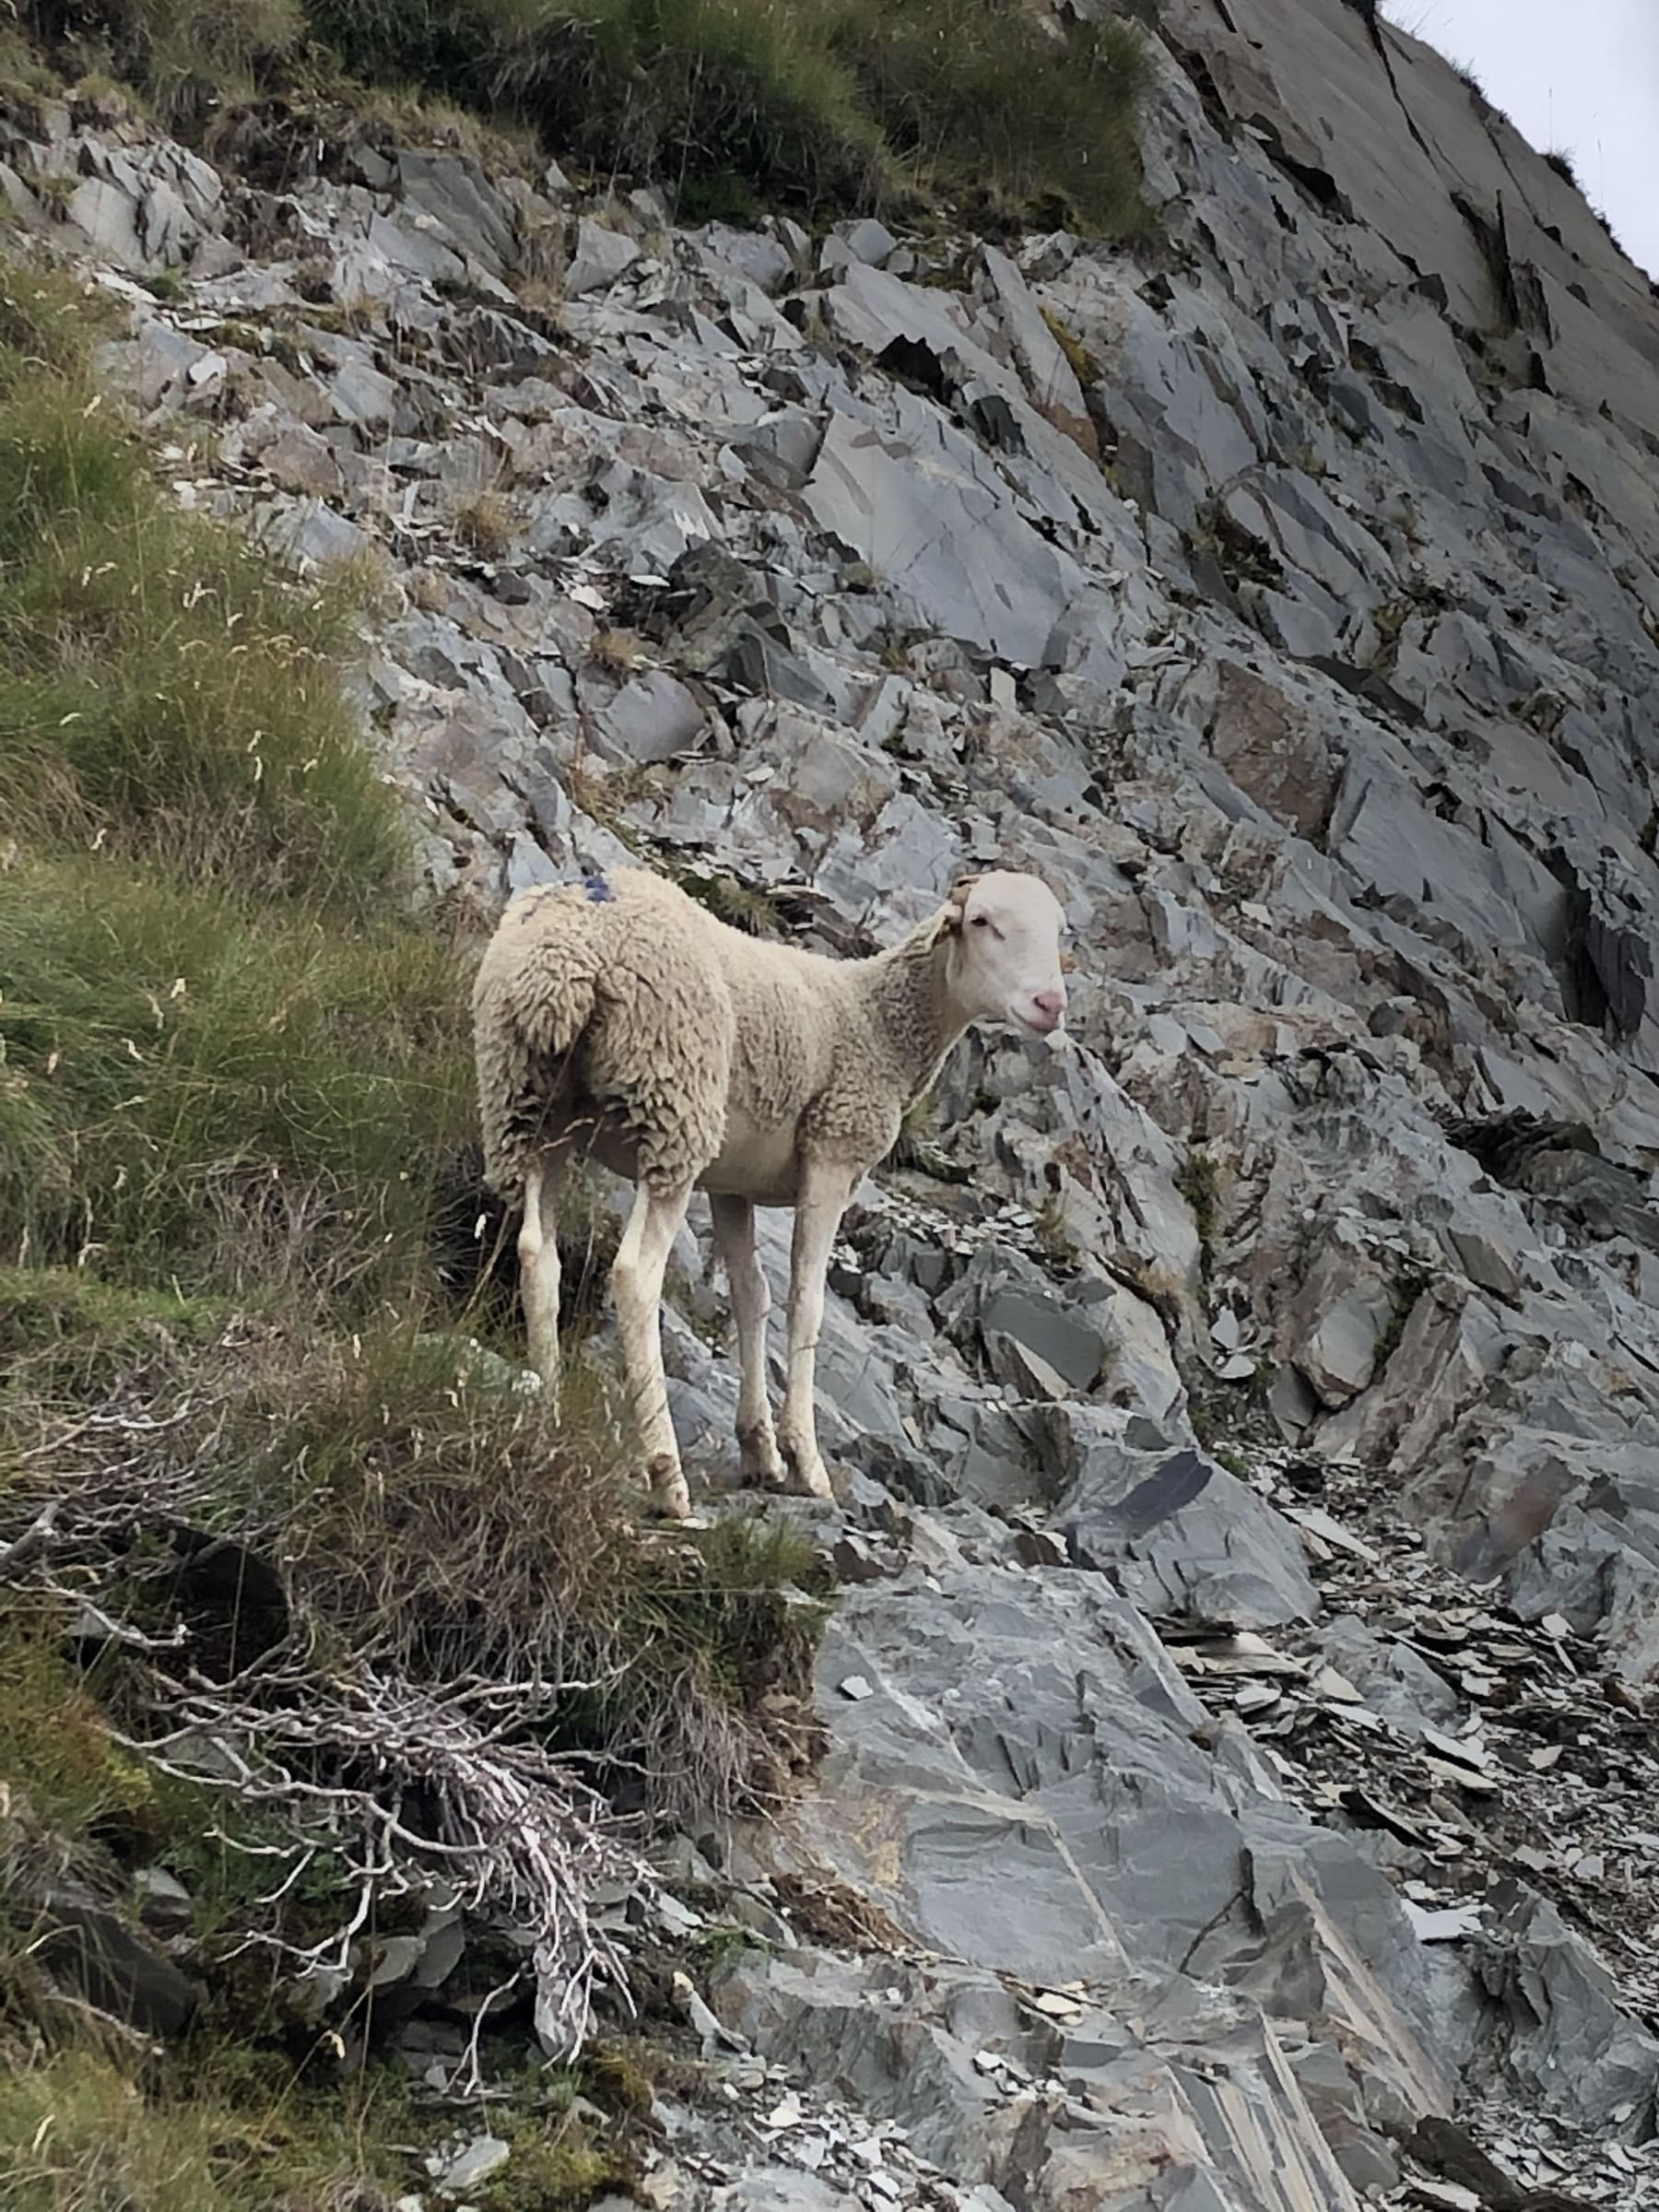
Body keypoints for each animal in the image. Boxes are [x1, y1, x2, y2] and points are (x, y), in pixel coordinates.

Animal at [473, 866, 1070, 1522]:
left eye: (1059, 931)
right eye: (983, 921)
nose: (1051, 1005)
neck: (876, 1020)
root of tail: (565, 956)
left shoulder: (732, 1182)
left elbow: (750, 1296)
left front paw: (759, 1449)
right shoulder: (833, 1151)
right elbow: (804, 1302)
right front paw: (805, 1461)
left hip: (531, 1107)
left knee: (538, 1255)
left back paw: (548, 1415)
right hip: (673, 1105)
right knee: (634, 1274)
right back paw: (666, 1473)